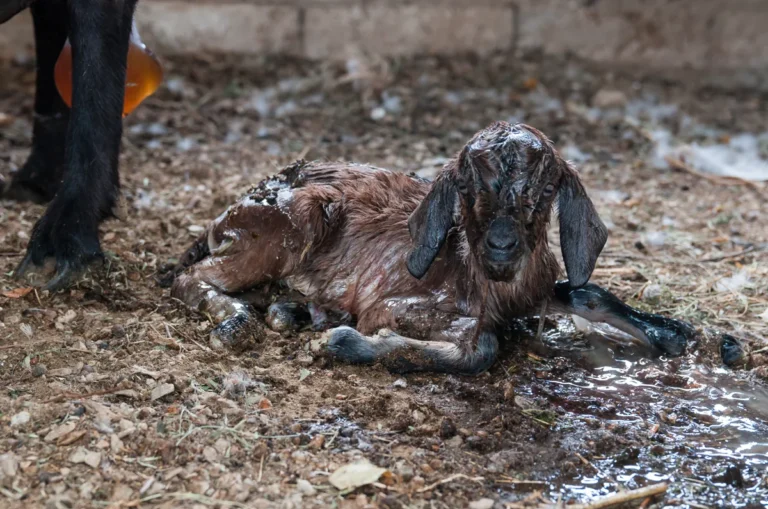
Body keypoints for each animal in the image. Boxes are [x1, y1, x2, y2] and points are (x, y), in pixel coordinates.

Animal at [167, 121, 695, 375]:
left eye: (547, 191)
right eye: (466, 187)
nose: (501, 247)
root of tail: (242, 200)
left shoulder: (534, 291)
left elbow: (587, 293)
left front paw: (673, 334)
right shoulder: (391, 303)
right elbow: (483, 344)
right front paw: (346, 343)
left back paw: (290, 311)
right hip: (286, 229)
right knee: (190, 277)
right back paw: (237, 322)